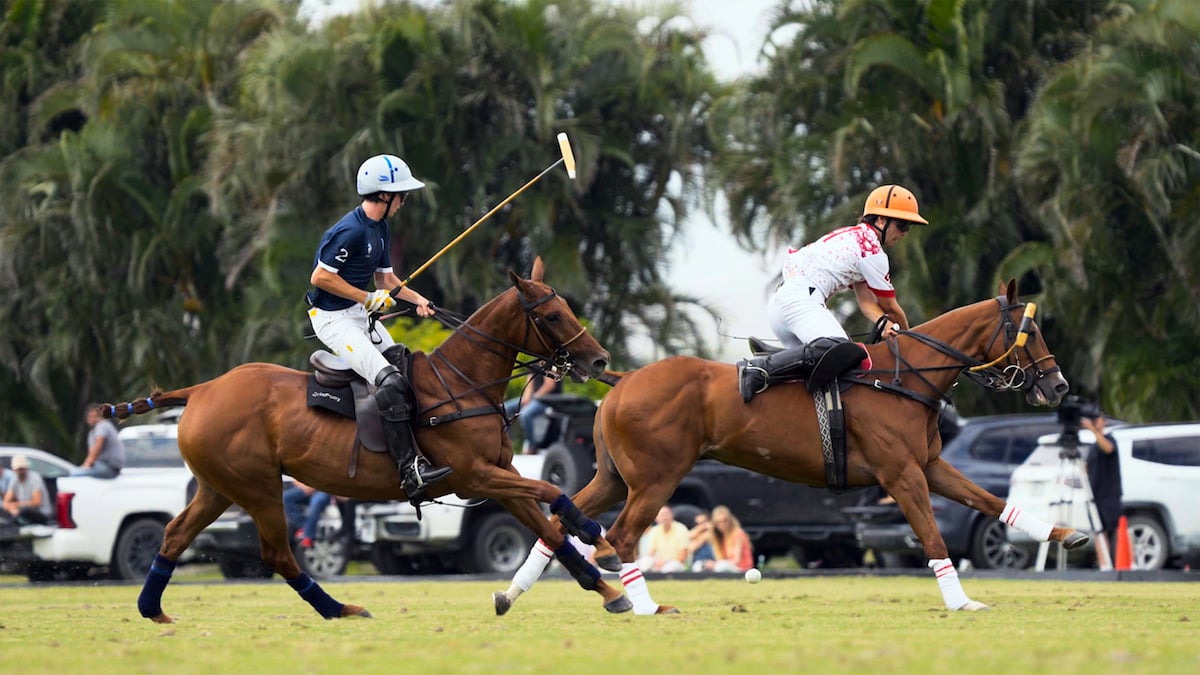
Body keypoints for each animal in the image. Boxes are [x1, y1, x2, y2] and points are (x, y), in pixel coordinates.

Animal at [104, 255, 633, 619]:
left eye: (566, 307)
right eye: (552, 316)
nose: (600, 361)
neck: (461, 382)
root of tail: (202, 389)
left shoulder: (498, 475)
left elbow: (549, 528)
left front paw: (606, 589)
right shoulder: (475, 476)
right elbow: (551, 491)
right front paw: (600, 542)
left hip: (219, 486)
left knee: (175, 534)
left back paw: (152, 609)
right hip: (257, 485)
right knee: (277, 552)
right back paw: (340, 609)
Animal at [494, 277, 1080, 610]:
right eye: (1030, 331)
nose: (1058, 387)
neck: (906, 377)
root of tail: (622, 380)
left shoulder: (929, 466)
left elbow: (993, 500)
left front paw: (1064, 533)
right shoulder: (902, 474)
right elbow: (933, 537)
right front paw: (961, 603)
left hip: (615, 477)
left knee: (560, 521)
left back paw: (511, 594)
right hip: (656, 479)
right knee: (618, 537)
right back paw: (644, 607)